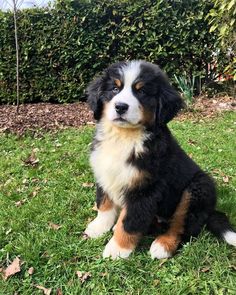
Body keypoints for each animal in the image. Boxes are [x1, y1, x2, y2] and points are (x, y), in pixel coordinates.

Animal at [84, 61, 235, 260]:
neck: (124, 137)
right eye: (115, 88)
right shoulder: (105, 172)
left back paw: (163, 245)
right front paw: (98, 227)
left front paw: (117, 249)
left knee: (183, 227)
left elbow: (130, 222)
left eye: (141, 91)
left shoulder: (146, 189)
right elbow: (104, 204)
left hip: (196, 189)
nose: (120, 107)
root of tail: (210, 211)